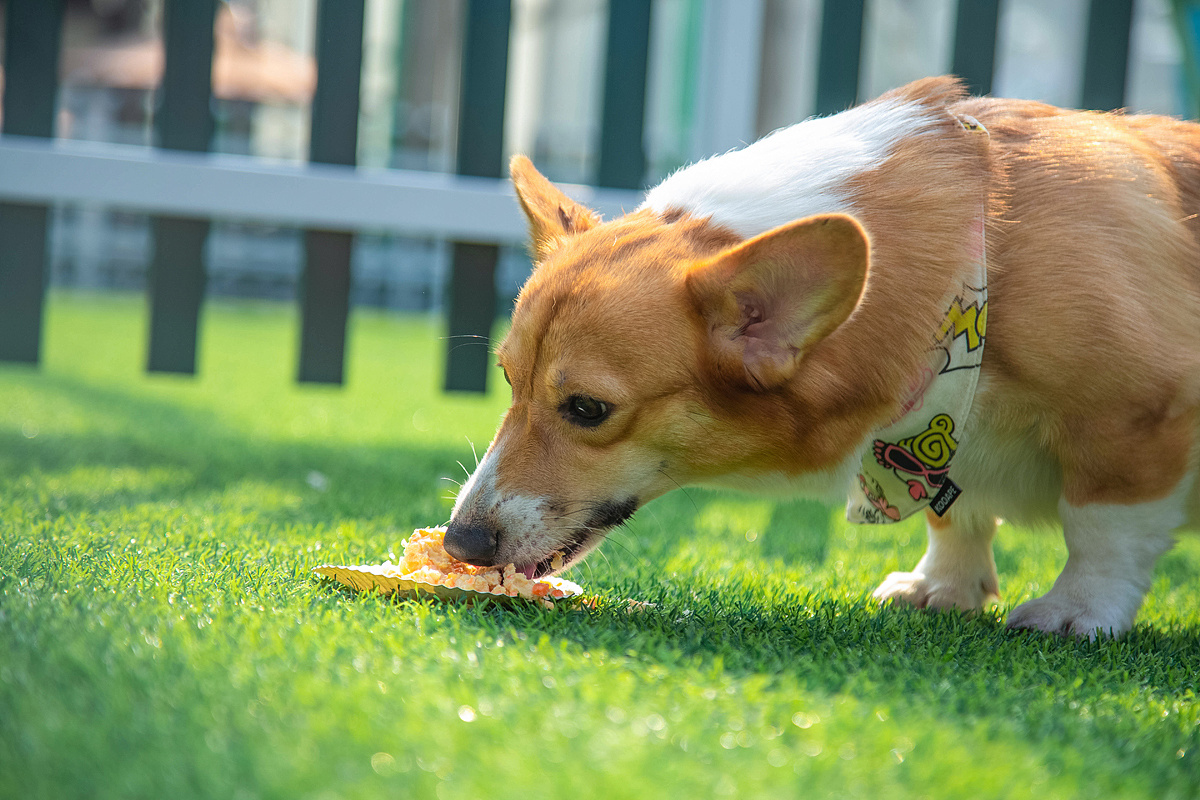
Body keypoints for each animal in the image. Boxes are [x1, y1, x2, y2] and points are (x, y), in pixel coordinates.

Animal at [446, 76, 1200, 638]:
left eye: (587, 409)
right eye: (509, 381)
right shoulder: (943, 429)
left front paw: (1076, 612)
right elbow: (952, 509)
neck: (984, 257)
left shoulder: (1132, 419)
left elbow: (1101, 528)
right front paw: (942, 587)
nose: (460, 545)